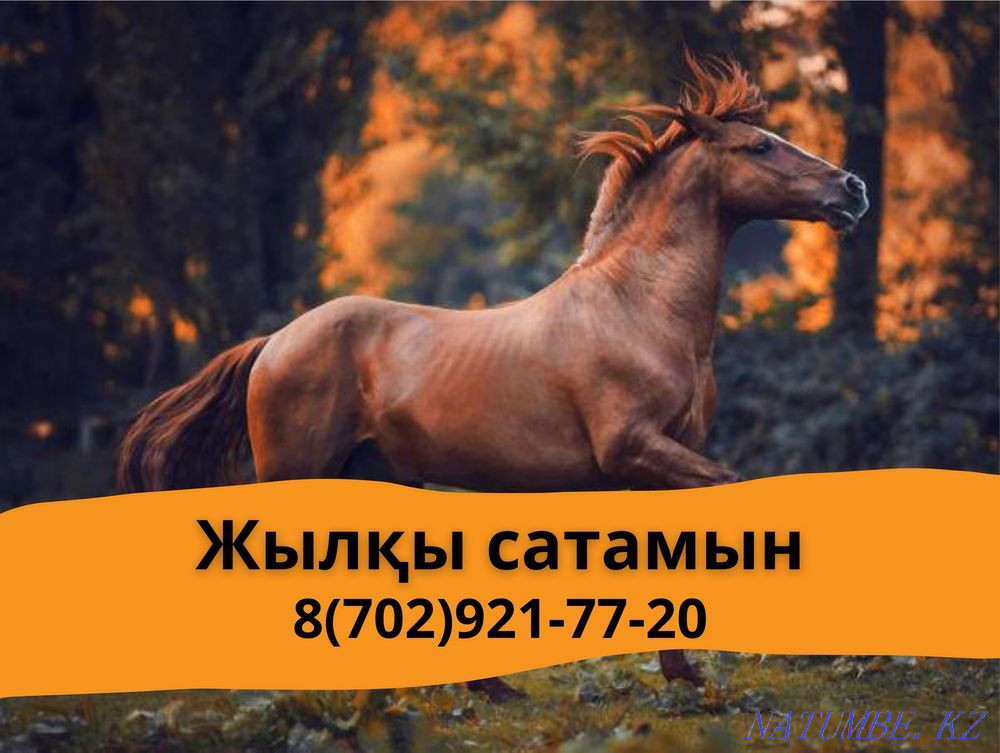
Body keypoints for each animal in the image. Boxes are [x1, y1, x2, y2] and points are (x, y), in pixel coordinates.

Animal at [118, 55, 868, 701]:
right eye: (761, 147)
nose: (852, 189)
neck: (637, 308)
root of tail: (274, 341)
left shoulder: (659, 462)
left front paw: (685, 674)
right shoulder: (632, 448)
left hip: (380, 477)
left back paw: (472, 688)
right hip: (299, 473)